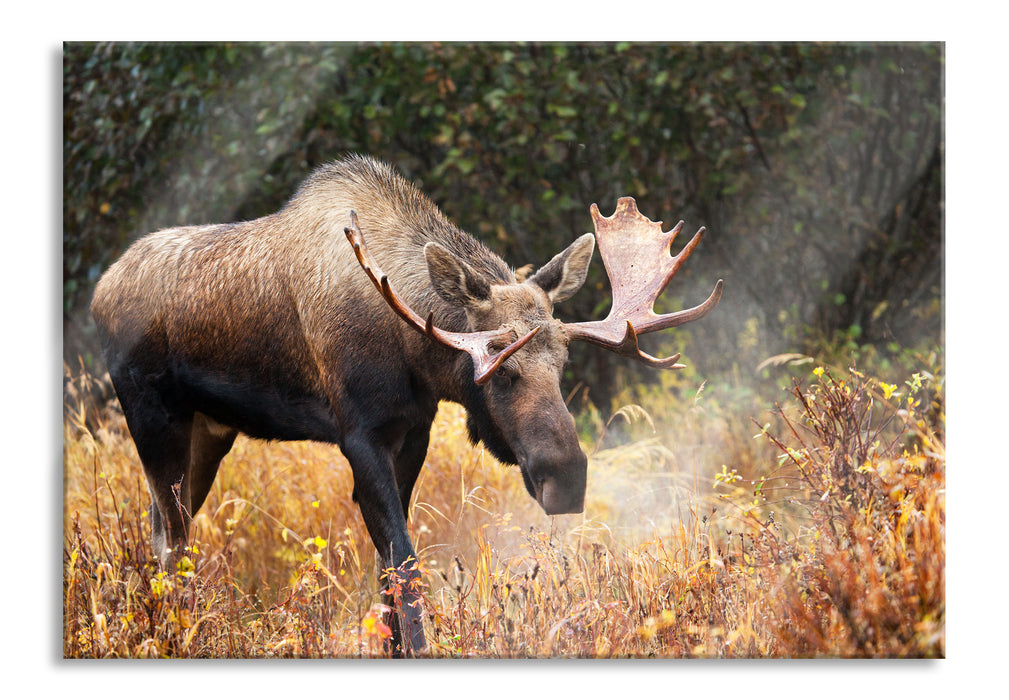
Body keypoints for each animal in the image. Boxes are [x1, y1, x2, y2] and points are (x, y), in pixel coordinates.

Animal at [84, 155, 718, 657]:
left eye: (562, 362)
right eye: (500, 368)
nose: (567, 477)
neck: (413, 351)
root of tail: (99, 291)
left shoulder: (413, 431)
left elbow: (388, 575)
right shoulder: (358, 435)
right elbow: (406, 569)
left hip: (209, 431)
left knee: (167, 528)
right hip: (151, 414)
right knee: (169, 538)